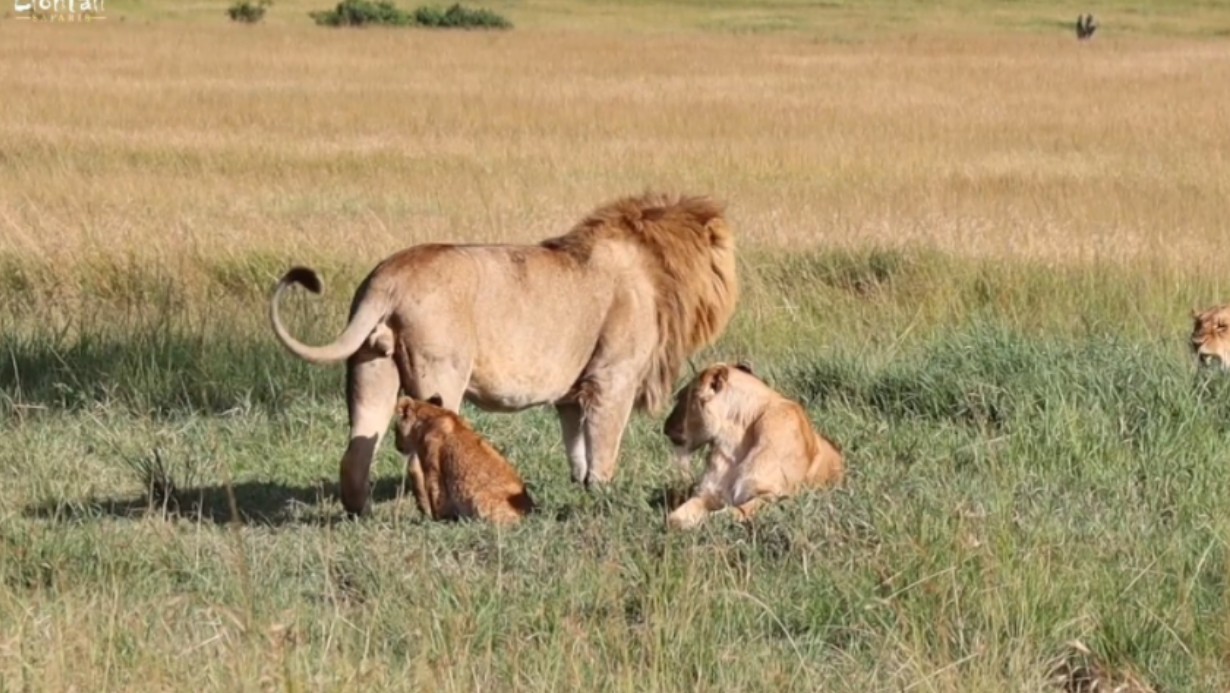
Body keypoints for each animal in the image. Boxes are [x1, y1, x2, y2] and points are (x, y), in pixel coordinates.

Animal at [274, 192, 733, 512]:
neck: (653, 262)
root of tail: (388, 276)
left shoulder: (572, 393)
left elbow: (576, 446)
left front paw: (579, 487)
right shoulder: (611, 380)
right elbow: (603, 445)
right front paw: (603, 494)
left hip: (370, 369)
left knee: (356, 452)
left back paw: (362, 512)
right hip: (440, 375)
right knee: (418, 454)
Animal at [391, 396, 531, 526]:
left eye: (395, 429)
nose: (396, 446)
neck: (434, 415)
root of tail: (530, 510)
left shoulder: (433, 466)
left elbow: (435, 493)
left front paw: (437, 521)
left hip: (478, 499)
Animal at [664, 364, 846, 531]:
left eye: (680, 398)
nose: (664, 429)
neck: (733, 443)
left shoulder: (774, 497)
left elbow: (725, 515)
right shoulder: (708, 494)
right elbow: (674, 517)